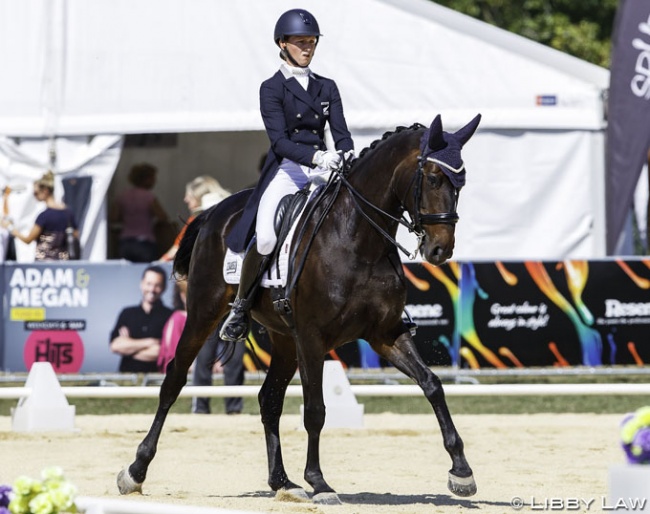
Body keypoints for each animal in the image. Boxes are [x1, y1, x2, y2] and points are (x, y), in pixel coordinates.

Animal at [116, 113, 480, 504]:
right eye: (433, 177)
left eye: (461, 182)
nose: (441, 250)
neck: (359, 240)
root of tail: (215, 211)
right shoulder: (312, 338)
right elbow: (315, 410)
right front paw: (319, 482)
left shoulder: (385, 334)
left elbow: (432, 385)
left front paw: (462, 472)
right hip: (204, 314)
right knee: (174, 380)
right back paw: (135, 471)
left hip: (283, 339)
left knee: (269, 399)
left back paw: (282, 482)